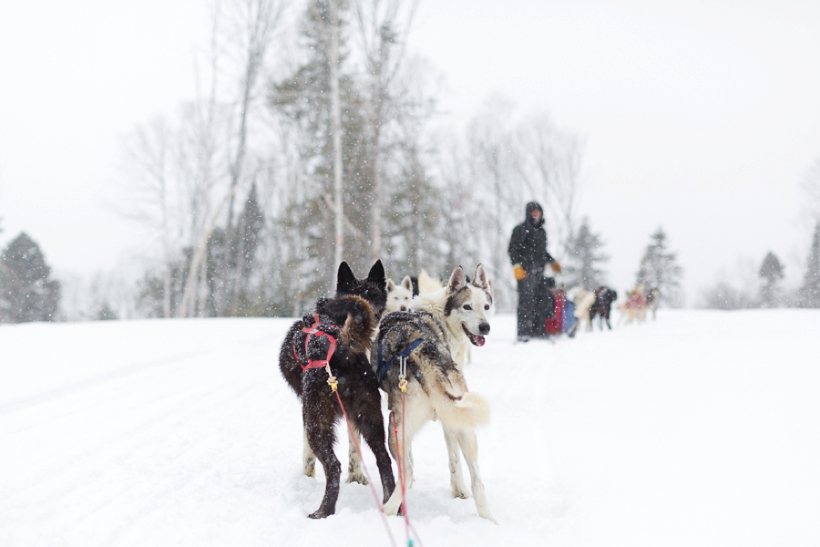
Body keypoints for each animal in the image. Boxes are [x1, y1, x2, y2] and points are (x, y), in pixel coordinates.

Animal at [278, 262, 396, 520]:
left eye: (374, 295)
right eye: (366, 295)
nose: (372, 311)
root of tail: (341, 348)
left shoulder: (306, 413)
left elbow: (308, 454)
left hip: (318, 424)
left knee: (333, 466)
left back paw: (324, 511)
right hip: (371, 418)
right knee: (384, 459)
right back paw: (394, 506)